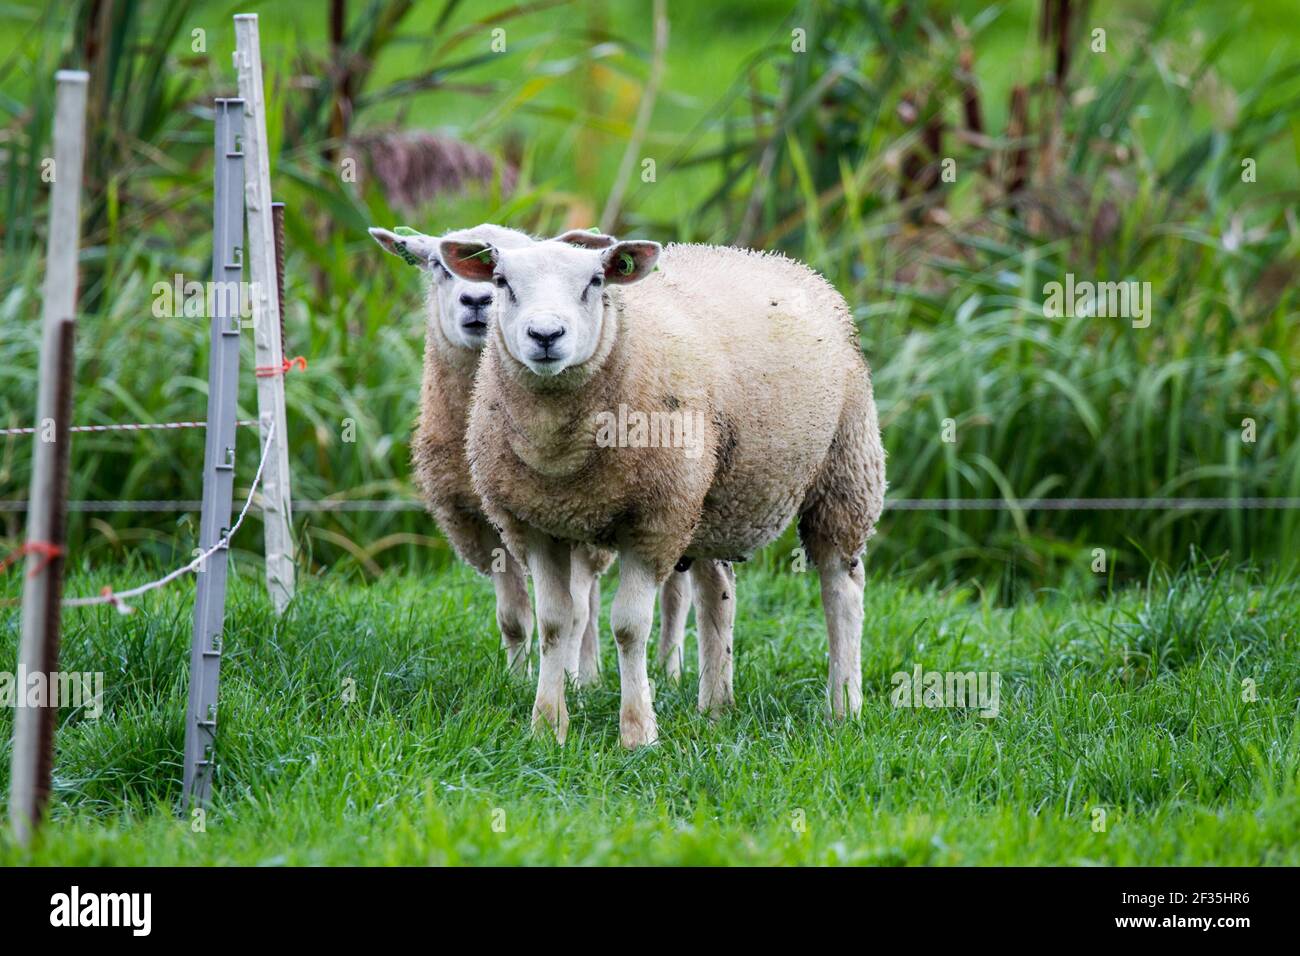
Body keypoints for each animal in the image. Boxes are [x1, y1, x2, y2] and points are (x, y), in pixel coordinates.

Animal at [444, 239, 883, 749]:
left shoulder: (653, 523)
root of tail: (777, 259)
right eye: (501, 282)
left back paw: (844, 707)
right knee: (717, 593)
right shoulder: (534, 526)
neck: (560, 454)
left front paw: (638, 733)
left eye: (595, 282)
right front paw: (547, 728)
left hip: (845, 466)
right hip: (710, 499)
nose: (546, 335)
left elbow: (629, 627)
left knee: (842, 588)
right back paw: (716, 706)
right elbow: (555, 622)